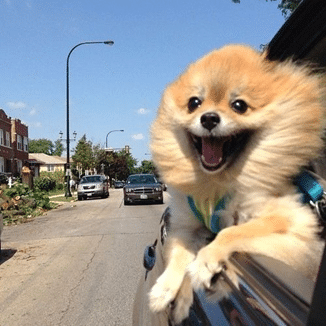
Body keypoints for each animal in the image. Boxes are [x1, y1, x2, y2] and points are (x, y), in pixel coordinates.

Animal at [148, 44, 326, 324]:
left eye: (239, 105)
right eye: (194, 103)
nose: (209, 118)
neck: (216, 183)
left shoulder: (293, 222)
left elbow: (233, 231)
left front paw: (205, 261)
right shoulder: (186, 226)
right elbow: (177, 253)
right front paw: (164, 289)